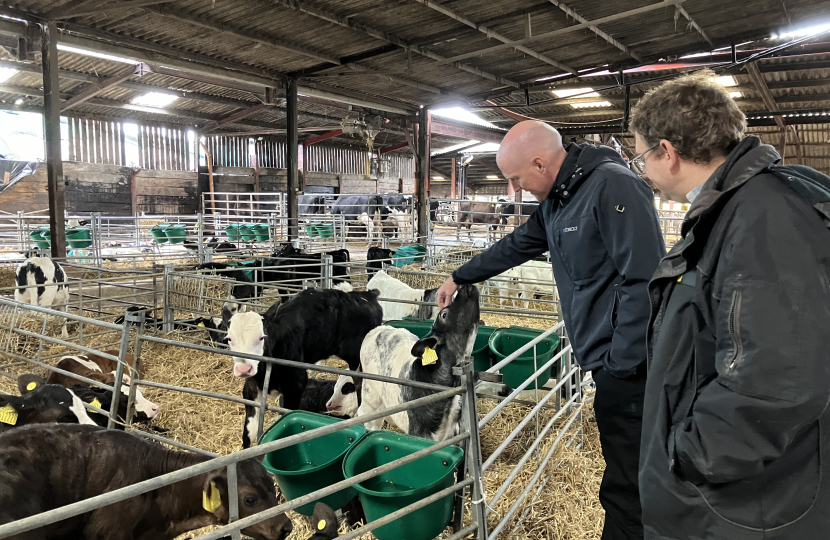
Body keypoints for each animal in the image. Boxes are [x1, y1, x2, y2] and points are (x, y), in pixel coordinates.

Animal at [228, 286, 384, 448]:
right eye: (229, 339)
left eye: (261, 337)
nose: (244, 369)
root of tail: (366, 295)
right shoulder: (251, 387)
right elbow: (249, 432)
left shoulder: (295, 385)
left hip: (359, 360)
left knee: (360, 384)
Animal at [358, 284, 480, 440]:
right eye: (444, 314)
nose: (466, 287)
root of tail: (379, 328)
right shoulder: (419, 432)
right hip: (370, 393)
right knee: (368, 416)